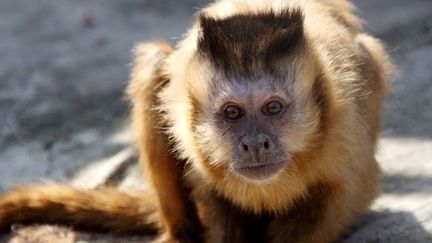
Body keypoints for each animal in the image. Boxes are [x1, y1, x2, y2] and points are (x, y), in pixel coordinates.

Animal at [0, 0, 394, 243]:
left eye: (272, 109)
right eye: (232, 113)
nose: (254, 143)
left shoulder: (345, 121)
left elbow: (346, 190)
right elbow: (209, 193)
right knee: (153, 63)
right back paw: (180, 234)